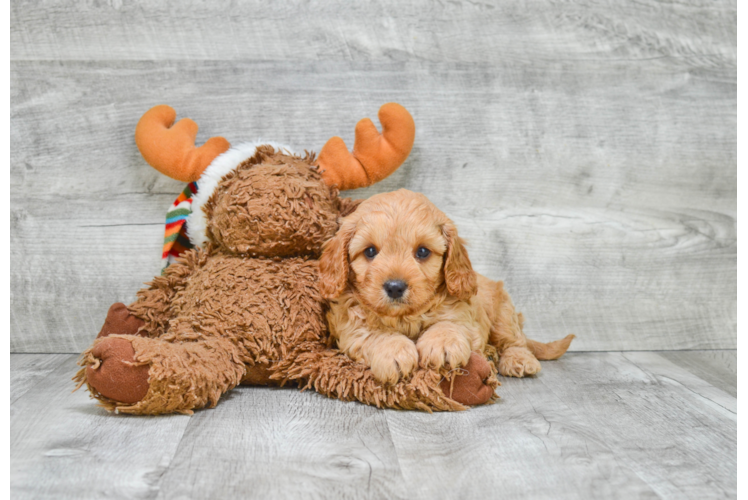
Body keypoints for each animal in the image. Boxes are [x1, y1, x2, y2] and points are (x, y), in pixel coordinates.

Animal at [318, 189, 572, 384]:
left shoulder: (465, 313)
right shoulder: (350, 326)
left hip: (503, 313)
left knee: (514, 340)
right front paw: (393, 351)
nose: (395, 287)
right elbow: (374, 334)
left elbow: (449, 323)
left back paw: (519, 359)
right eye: (370, 251)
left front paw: (441, 344)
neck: (405, 317)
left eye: (422, 252)